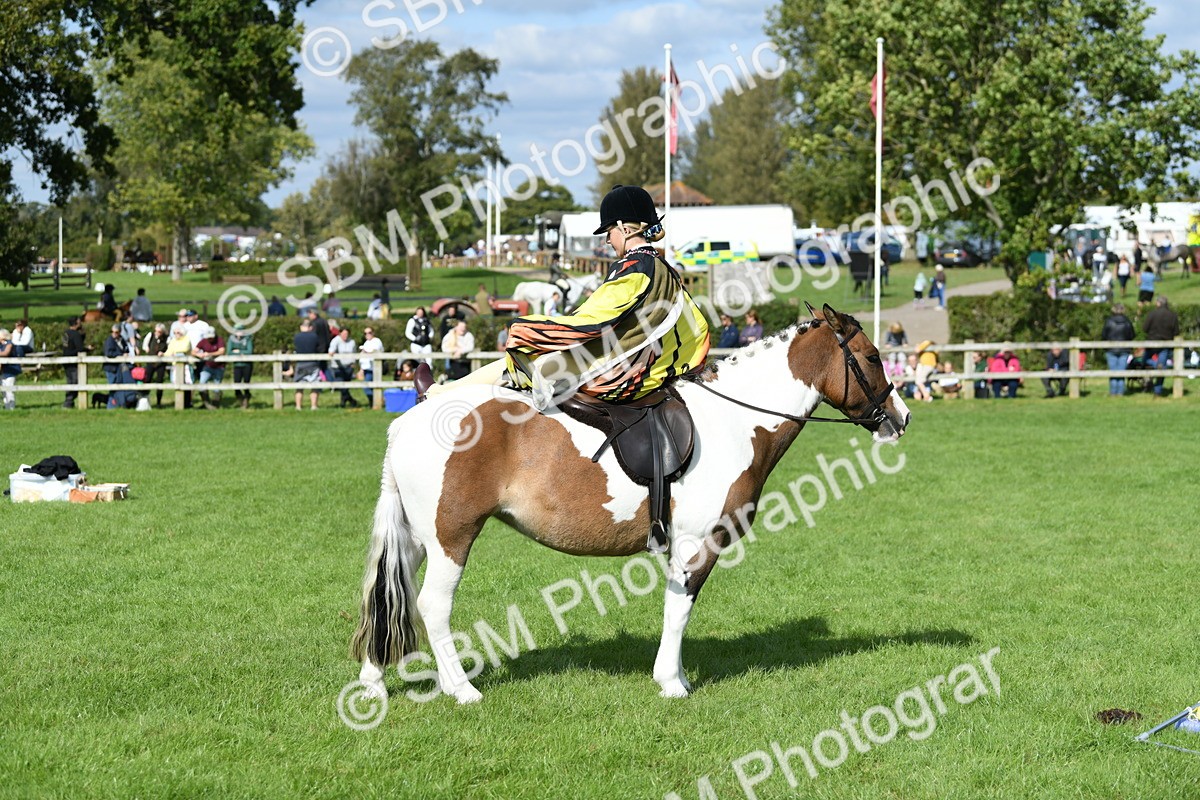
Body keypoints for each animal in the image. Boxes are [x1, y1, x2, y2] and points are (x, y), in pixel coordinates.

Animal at [351, 303, 911, 703]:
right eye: (872, 357)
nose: (901, 417)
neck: (733, 423)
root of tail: (410, 419)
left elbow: (675, 607)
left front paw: (675, 675)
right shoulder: (697, 544)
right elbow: (679, 609)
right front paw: (672, 683)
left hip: (416, 539)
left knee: (391, 594)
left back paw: (374, 683)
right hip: (452, 536)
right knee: (432, 605)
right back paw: (461, 688)